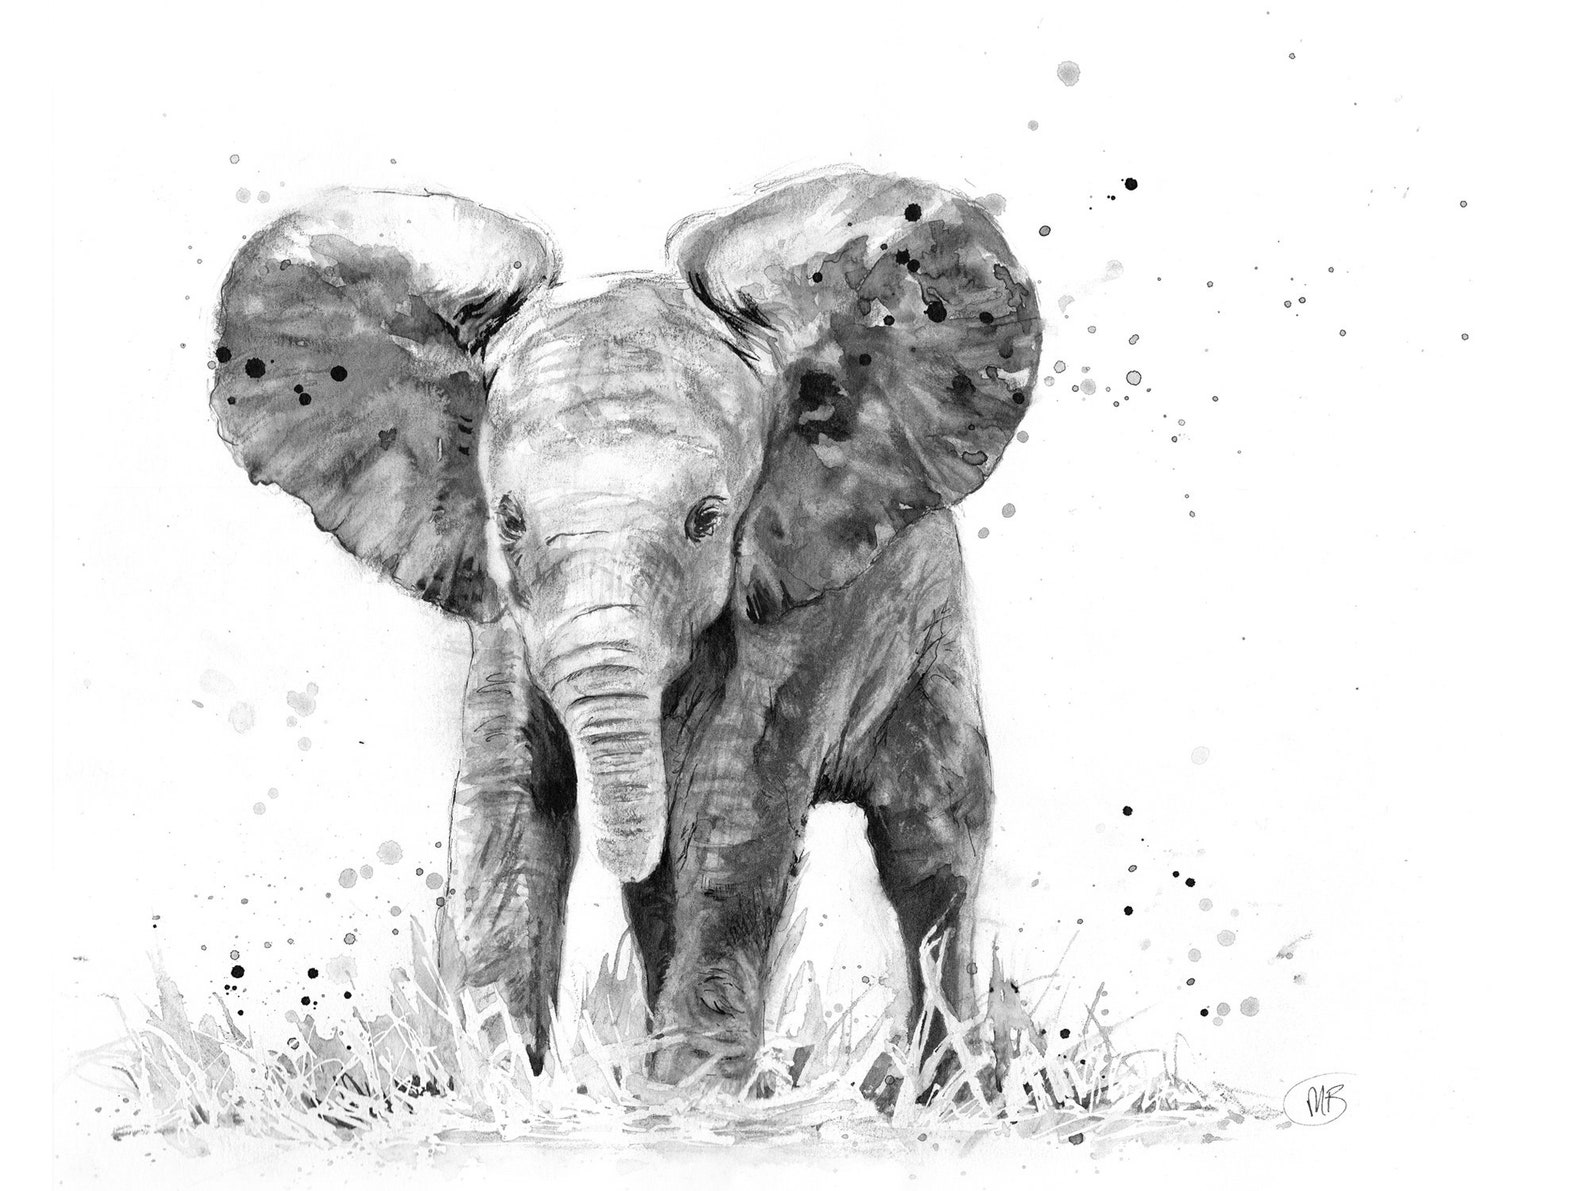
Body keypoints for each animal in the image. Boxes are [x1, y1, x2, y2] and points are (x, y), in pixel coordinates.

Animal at [208, 169, 1041, 1090]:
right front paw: (509, 1090)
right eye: (509, 521)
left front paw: (692, 1101)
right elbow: (509, 803)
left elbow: (730, 813)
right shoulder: (508, 624)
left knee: (932, 843)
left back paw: (946, 1093)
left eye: (708, 520)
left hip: (932, 635)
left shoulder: (796, 602)